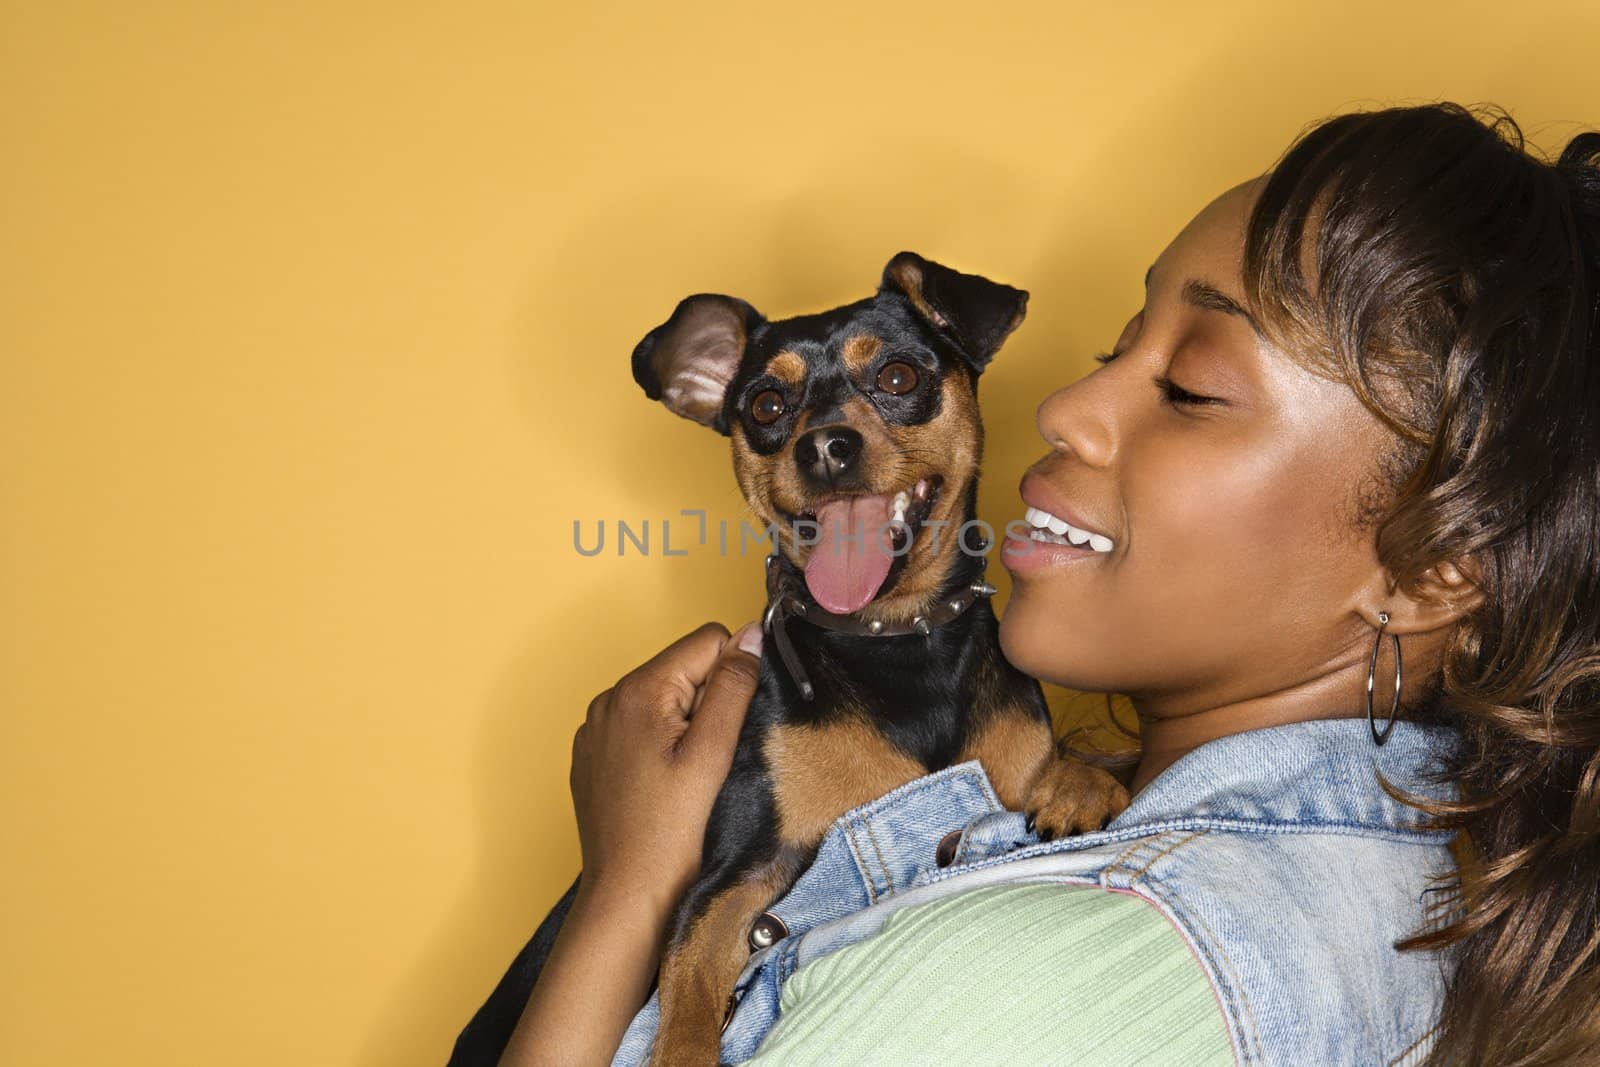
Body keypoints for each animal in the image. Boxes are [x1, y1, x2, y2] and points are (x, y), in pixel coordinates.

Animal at [444, 252, 1132, 1067]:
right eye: (767, 405)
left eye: (899, 376)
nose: (824, 446)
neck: (893, 638)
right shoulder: (738, 873)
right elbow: (690, 990)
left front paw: (1079, 785)